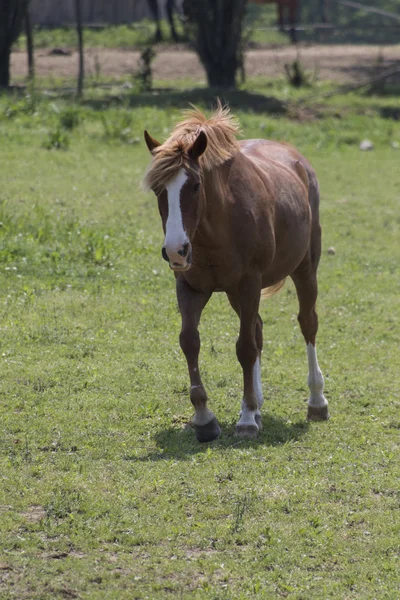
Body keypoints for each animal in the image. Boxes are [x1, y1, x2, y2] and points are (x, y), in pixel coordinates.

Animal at [143, 102, 328, 440]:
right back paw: (257, 403)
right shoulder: (190, 287)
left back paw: (316, 401)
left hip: (305, 269)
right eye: (158, 189)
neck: (217, 227)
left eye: (195, 185)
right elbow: (190, 341)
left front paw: (246, 419)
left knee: (307, 323)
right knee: (258, 328)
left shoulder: (249, 283)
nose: (176, 250)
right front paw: (205, 418)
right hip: (234, 293)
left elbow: (244, 347)